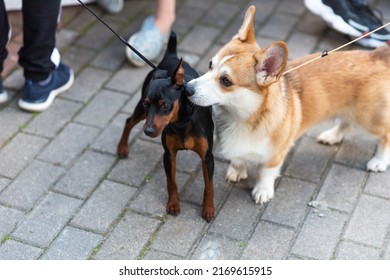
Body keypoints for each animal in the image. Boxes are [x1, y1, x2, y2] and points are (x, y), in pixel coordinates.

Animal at [118, 31, 216, 222]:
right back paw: (122, 148)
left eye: (165, 105)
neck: (181, 122)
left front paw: (208, 209)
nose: (148, 131)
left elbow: (209, 186)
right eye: (148, 103)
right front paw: (173, 204)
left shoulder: (207, 157)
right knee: (128, 121)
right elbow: (171, 182)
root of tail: (170, 57)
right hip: (141, 113)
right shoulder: (168, 155)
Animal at [185, 5, 390, 205]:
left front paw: (262, 191)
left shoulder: (275, 155)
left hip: (370, 118)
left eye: (226, 81)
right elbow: (238, 159)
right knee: (346, 121)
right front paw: (237, 170)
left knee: (385, 135)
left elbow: (266, 173)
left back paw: (379, 161)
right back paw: (332, 135)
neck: (243, 115)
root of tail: (376, 55)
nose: (186, 88)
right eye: (210, 64)